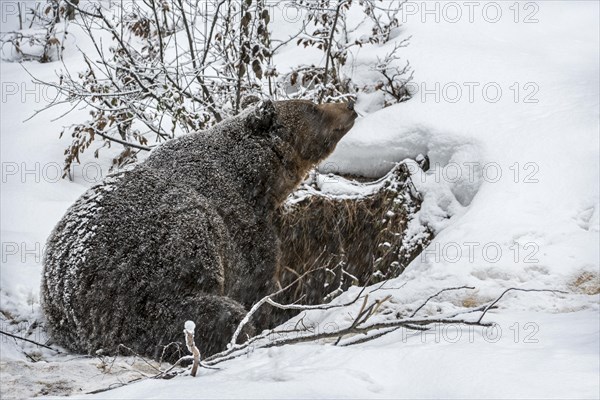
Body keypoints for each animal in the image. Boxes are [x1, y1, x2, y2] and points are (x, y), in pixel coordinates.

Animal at [41, 99, 356, 360]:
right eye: (312, 107)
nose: (349, 104)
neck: (259, 179)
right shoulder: (242, 228)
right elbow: (259, 282)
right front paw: (269, 315)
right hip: (147, 282)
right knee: (202, 316)